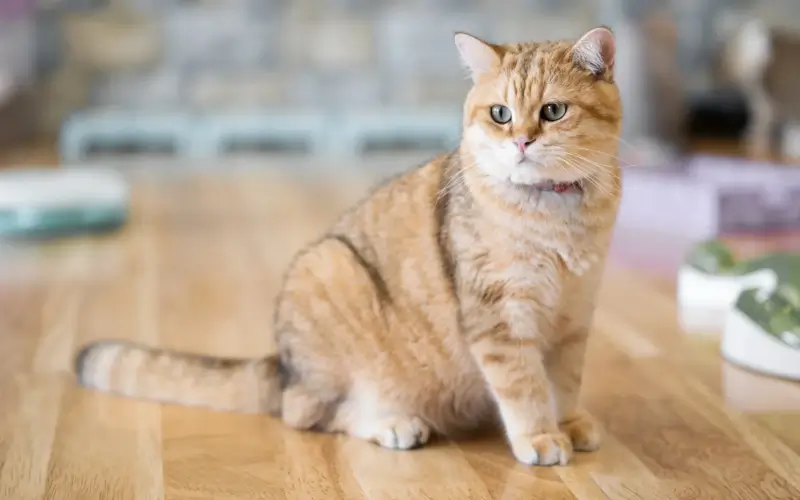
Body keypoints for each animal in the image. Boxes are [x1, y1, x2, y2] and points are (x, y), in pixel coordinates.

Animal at [73, 26, 624, 464]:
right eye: (501, 113)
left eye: (553, 111)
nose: (522, 142)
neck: (556, 214)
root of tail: (283, 367)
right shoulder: (500, 320)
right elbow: (525, 387)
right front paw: (541, 437)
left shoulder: (575, 316)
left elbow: (564, 383)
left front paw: (568, 425)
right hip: (328, 270)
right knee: (310, 414)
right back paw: (394, 424)